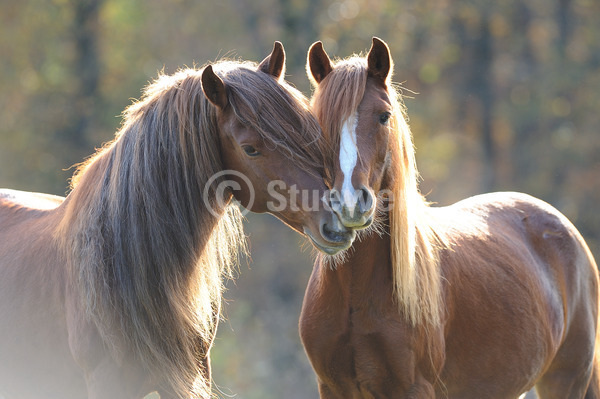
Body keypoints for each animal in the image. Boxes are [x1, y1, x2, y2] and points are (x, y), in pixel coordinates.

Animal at [300, 36, 600, 398]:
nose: (349, 203)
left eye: (384, 116)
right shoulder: (333, 388)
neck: (357, 293)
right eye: (318, 122)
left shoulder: (415, 388)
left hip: (566, 379)